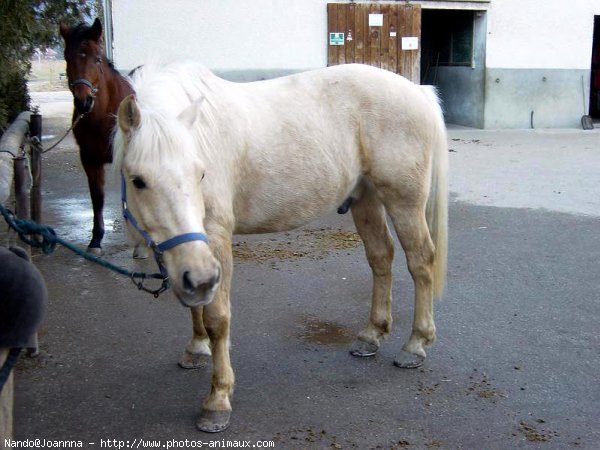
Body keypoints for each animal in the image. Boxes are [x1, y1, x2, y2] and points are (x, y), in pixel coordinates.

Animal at [59, 19, 137, 255]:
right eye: (68, 58)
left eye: (98, 58)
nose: (83, 102)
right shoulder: (89, 159)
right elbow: (97, 197)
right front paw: (95, 240)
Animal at [115, 61, 448, 434]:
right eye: (138, 180)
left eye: (200, 174)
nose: (199, 278)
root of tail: (419, 92)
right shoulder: (191, 253)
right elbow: (196, 305)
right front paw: (196, 347)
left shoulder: (214, 238)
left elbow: (217, 318)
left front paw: (218, 400)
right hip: (366, 197)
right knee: (381, 258)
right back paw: (371, 335)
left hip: (403, 201)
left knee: (420, 261)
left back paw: (416, 344)